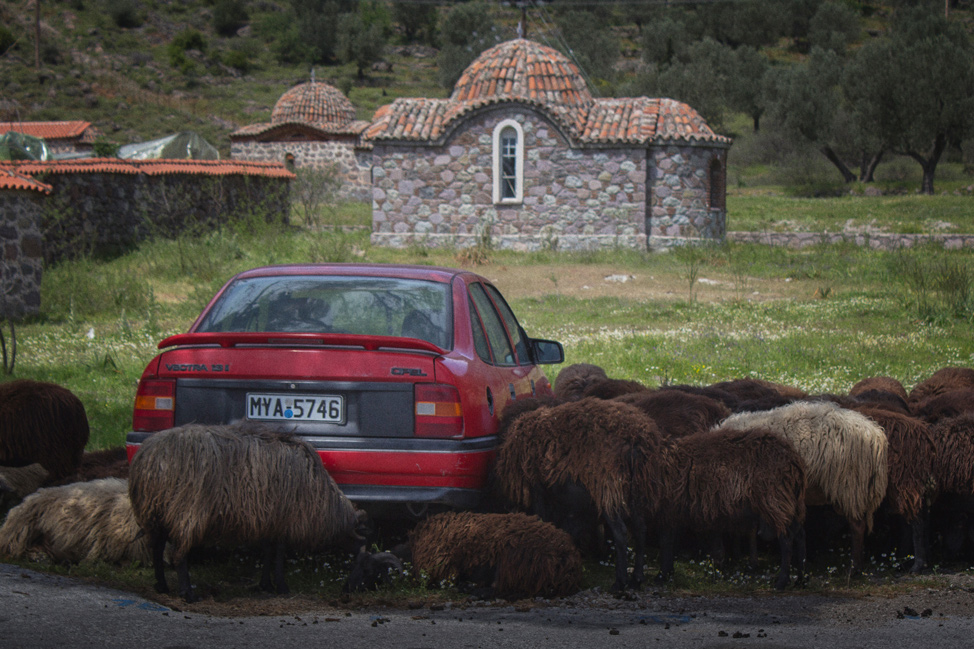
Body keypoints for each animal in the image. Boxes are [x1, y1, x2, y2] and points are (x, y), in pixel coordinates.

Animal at [126, 422, 362, 600]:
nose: (350, 588)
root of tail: (151, 457)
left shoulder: (270, 519)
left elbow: (268, 551)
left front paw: (266, 584)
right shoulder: (285, 518)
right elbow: (278, 554)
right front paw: (282, 586)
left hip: (156, 511)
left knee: (156, 549)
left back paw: (162, 585)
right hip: (186, 510)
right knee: (179, 554)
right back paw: (188, 593)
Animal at [346, 512, 584, 596]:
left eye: (368, 571)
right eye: (355, 566)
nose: (346, 590)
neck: (412, 549)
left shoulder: (441, 570)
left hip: (512, 563)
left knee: (500, 588)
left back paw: (470, 588)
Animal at [492, 398, 668, 588]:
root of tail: (636, 440)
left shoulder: (537, 489)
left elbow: (544, 517)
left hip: (608, 489)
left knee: (621, 533)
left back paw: (620, 582)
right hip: (635, 492)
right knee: (640, 529)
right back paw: (637, 576)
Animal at [716, 400, 892, 572]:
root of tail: (875, 435)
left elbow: (747, 527)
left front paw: (745, 560)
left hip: (849, 486)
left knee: (857, 527)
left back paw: (854, 569)